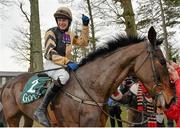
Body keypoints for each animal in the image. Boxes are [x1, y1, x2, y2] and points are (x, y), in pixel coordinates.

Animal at [0, 26, 174, 126]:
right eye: (162, 61)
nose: (171, 99)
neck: (90, 88)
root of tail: (8, 83)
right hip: (12, 118)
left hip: (26, 116)